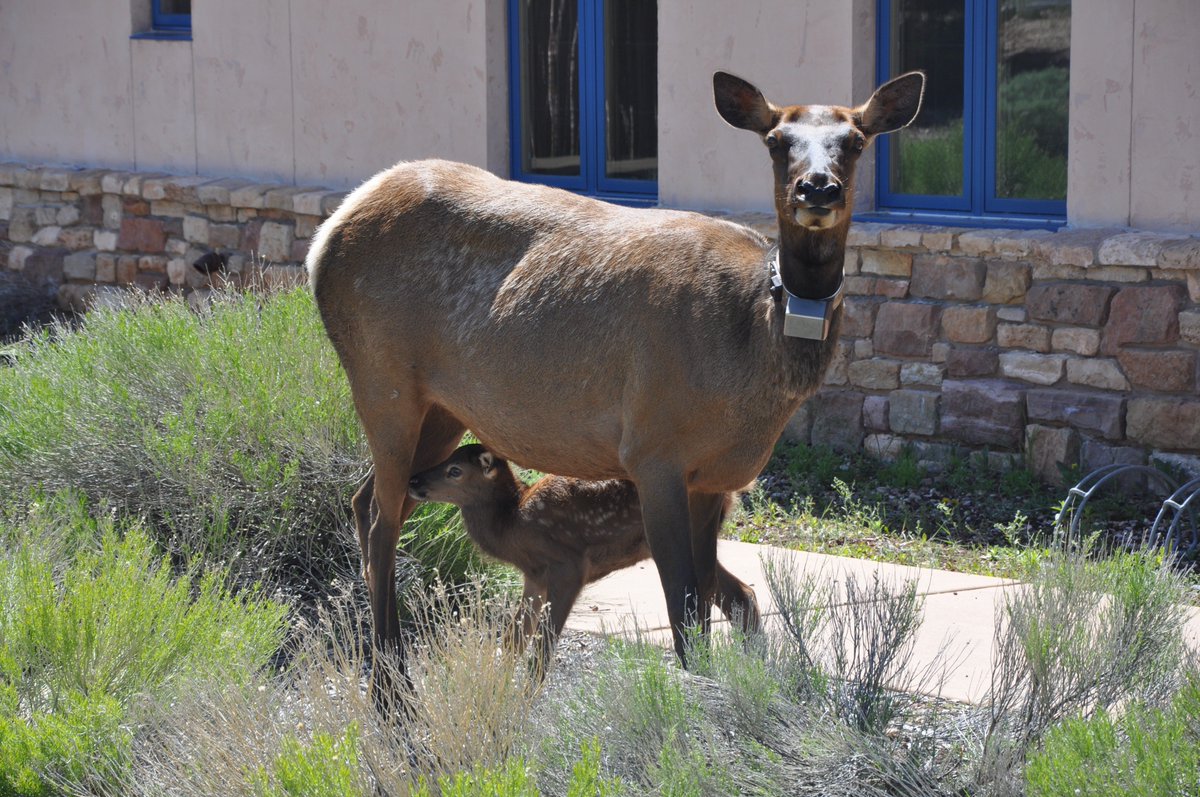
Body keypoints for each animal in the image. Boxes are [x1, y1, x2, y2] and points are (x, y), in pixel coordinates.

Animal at [307, 70, 924, 693]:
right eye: (776, 141)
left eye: (856, 141)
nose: (817, 189)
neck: (755, 355)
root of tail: (326, 234)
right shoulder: (654, 448)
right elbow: (682, 610)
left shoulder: (712, 478)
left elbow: (703, 603)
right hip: (381, 378)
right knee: (382, 518)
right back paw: (391, 686)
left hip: (442, 407)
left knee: (366, 499)